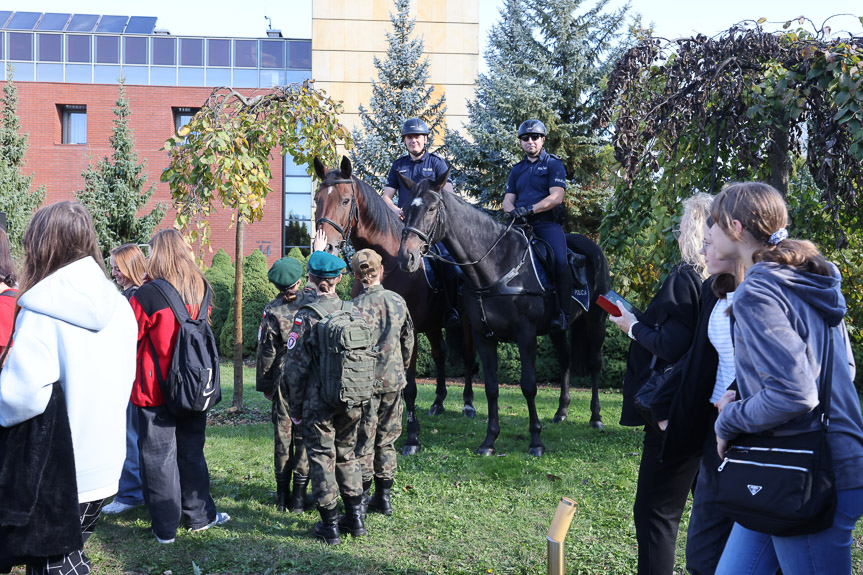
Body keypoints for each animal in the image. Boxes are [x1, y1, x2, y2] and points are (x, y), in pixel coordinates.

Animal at [312, 156, 476, 454]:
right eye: (317, 199)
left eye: (345, 200)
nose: (324, 247)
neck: (387, 261)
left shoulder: (406, 330)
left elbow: (409, 386)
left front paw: (412, 437)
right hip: (433, 326)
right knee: (440, 354)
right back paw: (438, 402)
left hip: (467, 323)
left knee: (469, 356)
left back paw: (468, 404)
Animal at [398, 173, 608, 456]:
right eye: (404, 211)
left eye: (431, 209)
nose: (406, 257)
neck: (495, 266)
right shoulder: (484, 337)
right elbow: (491, 388)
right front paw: (489, 441)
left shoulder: (526, 335)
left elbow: (529, 386)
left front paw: (536, 440)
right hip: (556, 330)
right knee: (565, 360)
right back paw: (561, 411)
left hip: (596, 320)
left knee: (595, 363)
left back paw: (595, 417)